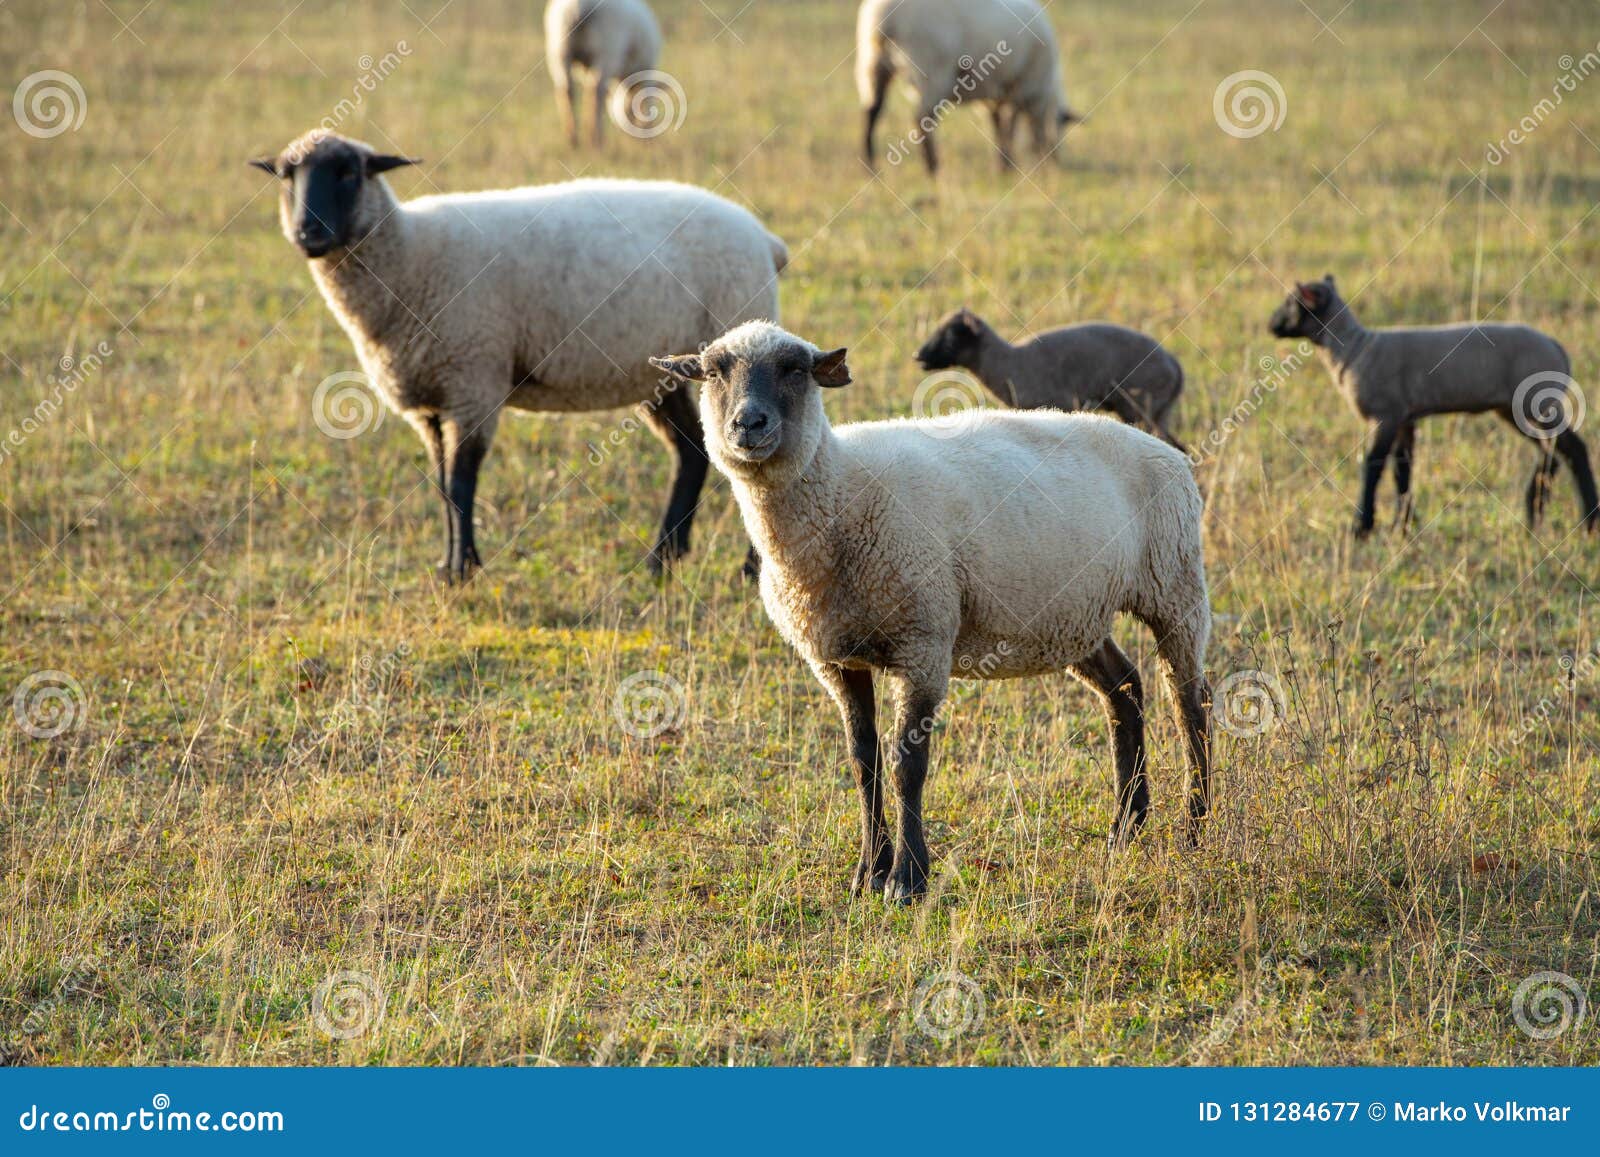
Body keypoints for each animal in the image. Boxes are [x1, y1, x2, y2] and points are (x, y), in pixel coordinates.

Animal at [250, 129, 788, 582]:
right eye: (286, 176)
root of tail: (764, 238)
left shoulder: (473, 380)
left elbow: (461, 480)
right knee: (691, 454)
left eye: (348, 172)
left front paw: (462, 570)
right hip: (664, 376)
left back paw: (744, 569)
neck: (409, 255)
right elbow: (442, 481)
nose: (308, 233)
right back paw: (662, 559)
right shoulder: (431, 400)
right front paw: (450, 564)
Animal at [545, 0, 664, 147]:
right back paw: (596, 140)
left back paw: (573, 140)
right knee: (595, 91)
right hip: (606, 49)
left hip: (560, 51)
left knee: (566, 90)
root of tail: (577, 6)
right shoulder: (643, 68)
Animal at [856, 0, 1078, 175]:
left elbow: (998, 123)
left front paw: (1002, 164)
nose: (1055, 160)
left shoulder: (996, 94)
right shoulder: (1022, 85)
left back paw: (870, 165)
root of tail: (883, 16)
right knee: (921, 119)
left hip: (872, 64)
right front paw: (1010, 164)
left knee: (872, 112)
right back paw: (933, 167)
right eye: (1061, 125)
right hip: (931, 67)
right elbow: (1012, 124)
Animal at [915, 308, 1188, 449]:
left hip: (1142, 408)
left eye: (951, 335)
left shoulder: (1060, 405)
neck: (1007, 362)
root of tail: (1175, 366)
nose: (918, 356)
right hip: (1160, 411)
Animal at [1269, 274, 1599, 538]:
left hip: (1535, 402)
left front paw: (1362, 527)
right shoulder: (1405, 418)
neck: (1354, 348)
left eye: (1292, 303)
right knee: (1551, 451)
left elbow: (1373, 466)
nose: (1270, 325)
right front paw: (1403, 526)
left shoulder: (1386, 415)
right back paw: (1535, 512)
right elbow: (1402, 470)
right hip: (1513, 409)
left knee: (1573, 449)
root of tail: (1557, 347)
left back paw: (1588, 521)